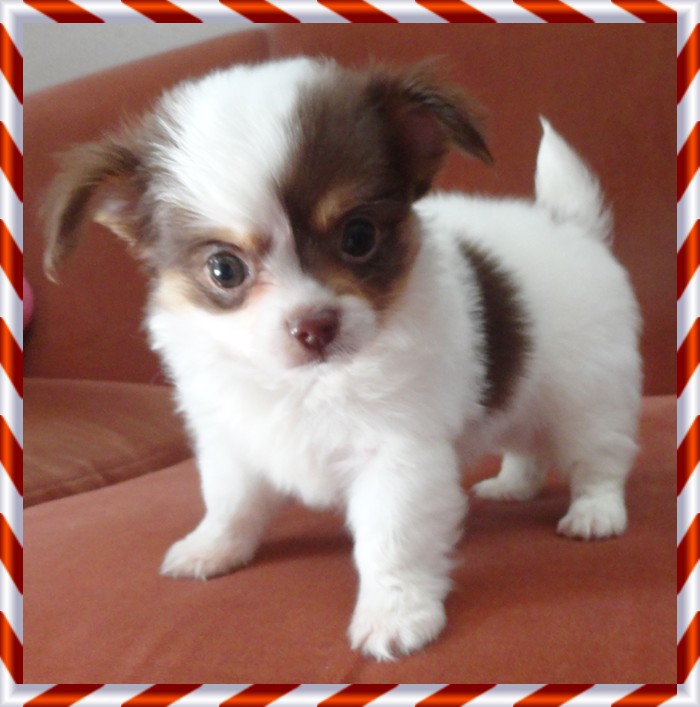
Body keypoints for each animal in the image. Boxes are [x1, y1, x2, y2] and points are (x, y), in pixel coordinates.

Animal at [44, 56, 642, 661]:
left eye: (358, 237)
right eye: (224, 269)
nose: (314, 326)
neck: (310, 382)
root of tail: (569, 225)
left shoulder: (397, 454)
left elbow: (390, 540)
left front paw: (395, 614)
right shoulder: (234, 438)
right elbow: (230, 500)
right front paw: (212, 548)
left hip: (589, 392)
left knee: (599, 457)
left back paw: (594, 513)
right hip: (522, 391)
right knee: (524, 441)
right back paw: (513, 485)